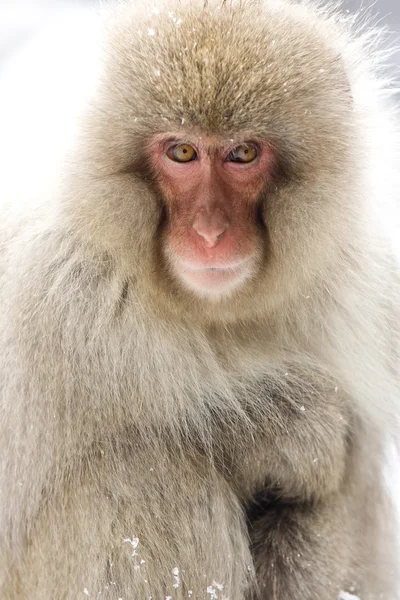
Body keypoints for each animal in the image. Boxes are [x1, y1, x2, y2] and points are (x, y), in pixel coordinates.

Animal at [0, 0, 398, 596]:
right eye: (183, 152)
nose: (210, 232)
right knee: (146, 474)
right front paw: (301, 427)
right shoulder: (51, 297)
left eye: (244, 153)